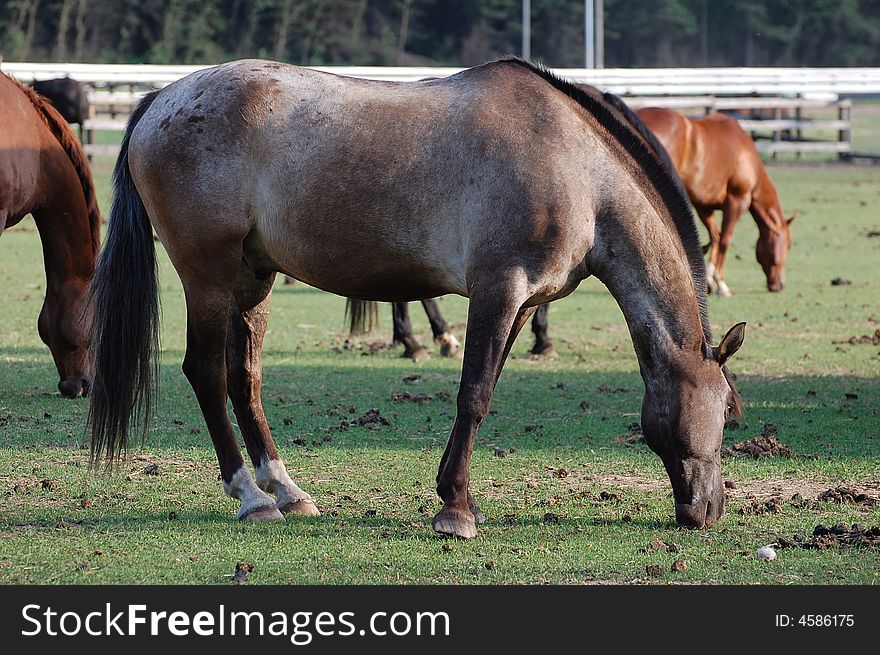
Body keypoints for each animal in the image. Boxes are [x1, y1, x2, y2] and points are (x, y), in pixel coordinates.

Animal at [89, 57, 744, 540]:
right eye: (727, 413)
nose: (707, 512)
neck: (576, 167)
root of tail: (162, 99)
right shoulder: (498, 289)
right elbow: (474, 395)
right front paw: (455, 511)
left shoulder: (521, 303)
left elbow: (486, 388)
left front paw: (457, 498)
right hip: (209, 275)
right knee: (204, 373)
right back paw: (249, 496)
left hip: (253, 279)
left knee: (242, 378)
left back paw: (286, 491)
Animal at [636, 106, 796, 296]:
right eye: (788, 245)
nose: (779, 285)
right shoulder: (736, 201)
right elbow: (725, 240)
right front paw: (721, 283)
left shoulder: (704, 206)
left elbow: (715, 236)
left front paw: (709, 280)